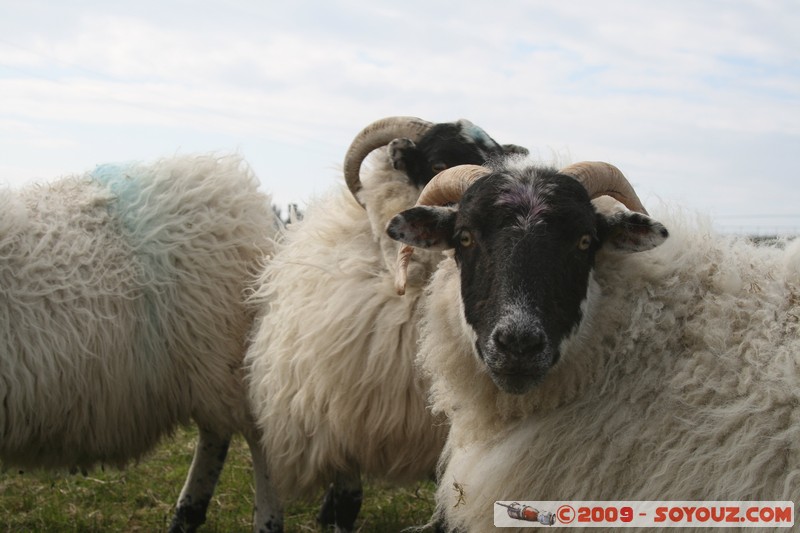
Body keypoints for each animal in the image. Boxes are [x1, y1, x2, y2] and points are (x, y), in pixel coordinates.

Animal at [0, 155, 282, 532]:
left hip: (229, 355)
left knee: (257, 438)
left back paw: (264, 520)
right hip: (208, 363)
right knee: (216, 433)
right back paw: (187, 514)